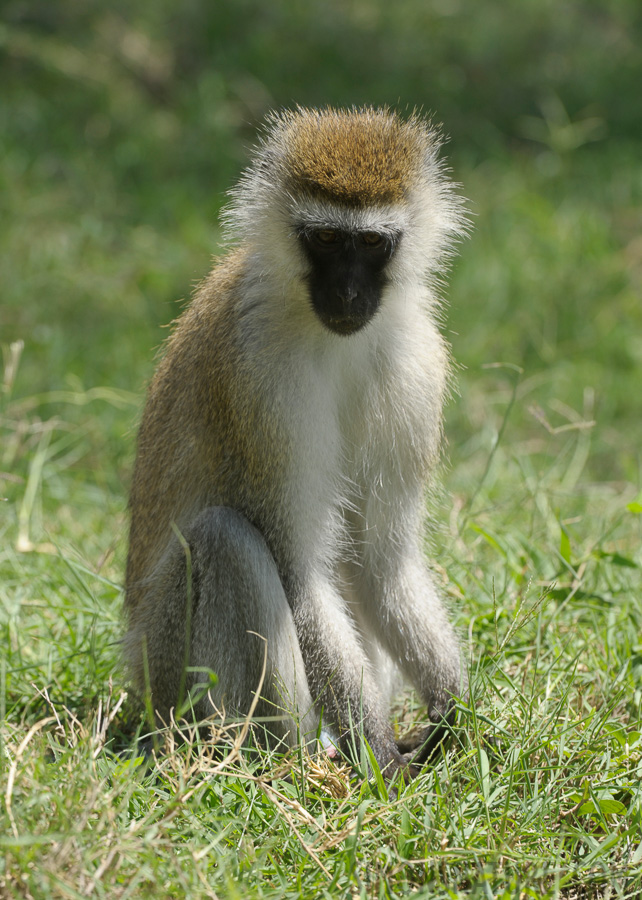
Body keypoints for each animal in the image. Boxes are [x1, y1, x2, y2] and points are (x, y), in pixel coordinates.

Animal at [124, 107, 464, 780]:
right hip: (164, 671)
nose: (349, 295)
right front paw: (382, 758)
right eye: (326, 239)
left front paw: (456, 717)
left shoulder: (417, 362)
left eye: (371, 244)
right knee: (226, 539)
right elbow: (299, 570)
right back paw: (284, 761)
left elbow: (383, 562)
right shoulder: (261, 377)